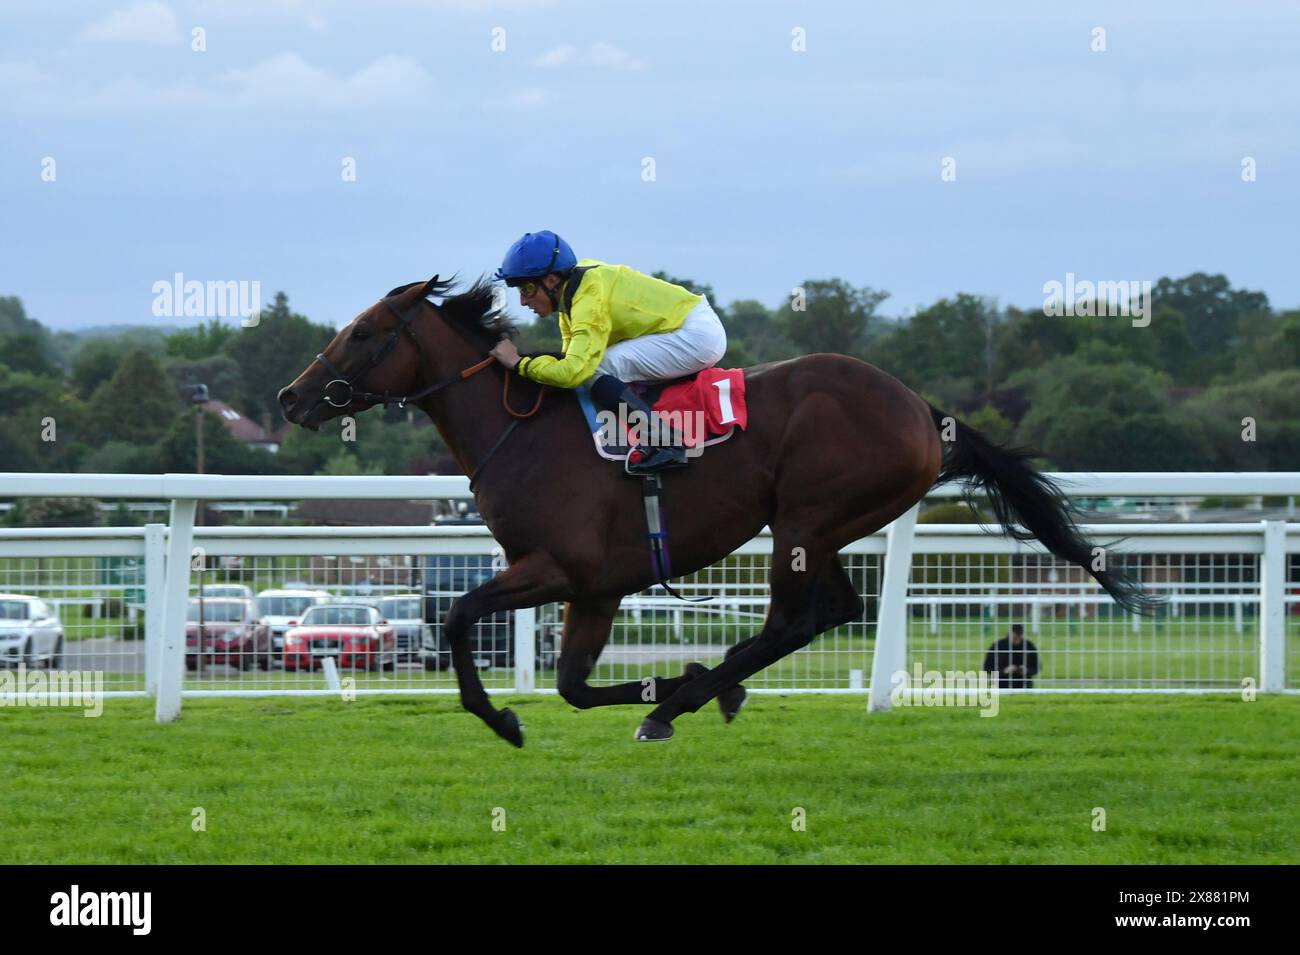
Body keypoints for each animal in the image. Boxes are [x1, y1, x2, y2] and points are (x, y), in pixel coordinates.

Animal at [279, 276, 1154, 748]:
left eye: (362, 333)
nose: (291, 396)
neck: (519, 431)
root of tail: (919, 406)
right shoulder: (595, 588)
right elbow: (572, 685)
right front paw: (673, 684)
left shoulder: (557, 567)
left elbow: (463, 616)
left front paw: (504, 720)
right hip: (823, 527)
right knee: (832, 609)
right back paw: (701, 689)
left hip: (805, 518)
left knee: (795, 621)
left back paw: (690, 697)